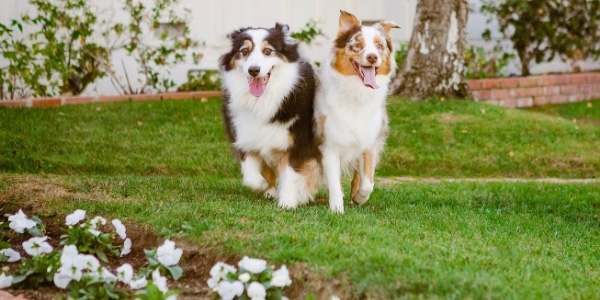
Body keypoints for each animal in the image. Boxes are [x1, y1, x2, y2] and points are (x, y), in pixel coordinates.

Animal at [219, 23, 322, 209]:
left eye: (267, 51)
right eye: (244, 51)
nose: (254, 70)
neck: (262, 100)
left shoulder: (297, 140)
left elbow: (291, 173)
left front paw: (288, 202)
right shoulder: (243, 135)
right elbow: (251, 178)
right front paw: (266, 187)